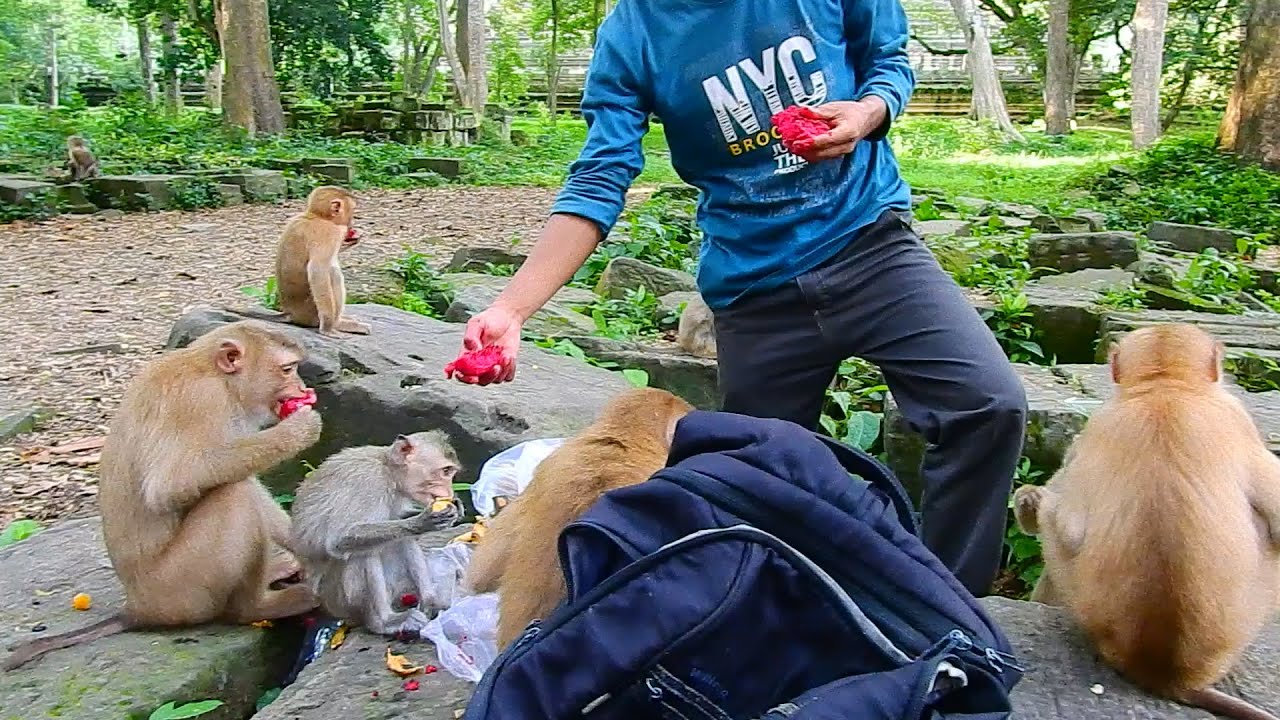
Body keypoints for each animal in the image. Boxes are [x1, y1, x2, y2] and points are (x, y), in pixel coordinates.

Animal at [2, 321, 323, 672]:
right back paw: (256, 608)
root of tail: (136, 608)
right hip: (181, 588)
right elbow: (173, 482)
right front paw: (299, 430)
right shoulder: (200, 400)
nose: (302, 387)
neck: (218, 378)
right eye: (288, 368)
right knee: (232, 494)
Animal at [288, 431, 464, 636]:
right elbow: (339, 539)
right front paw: (422, 521)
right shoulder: (367, 484)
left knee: (400, 540)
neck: (388, 470)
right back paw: (384, 622)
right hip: (339, 602)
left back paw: (429, 600)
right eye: (445, 471)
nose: (450, 491)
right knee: (362, 554)